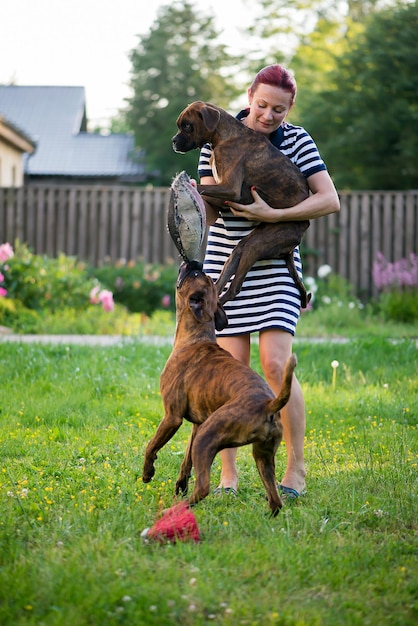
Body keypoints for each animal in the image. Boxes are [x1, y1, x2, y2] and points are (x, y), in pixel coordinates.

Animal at [144, 260, 298, 516]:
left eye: (197, 274)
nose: (194, 263)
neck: (196, 335)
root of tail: (269, 404)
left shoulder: (172, 418)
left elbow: (151, 446)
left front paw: (147, 473)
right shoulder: (196, 425)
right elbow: (185, 462)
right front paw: (180, 485)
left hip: (208, 438)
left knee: (203, 487)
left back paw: (171, 512)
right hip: (262, 456)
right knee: (275, 499)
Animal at [171, 100, 312, 308]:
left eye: (187, 126)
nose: (173, 141)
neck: (224, 137)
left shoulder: (230, 189)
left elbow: (202, 187)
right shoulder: (223, 194)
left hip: (256, 245)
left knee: (235, 287)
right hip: (243, 248)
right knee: (221, 281)